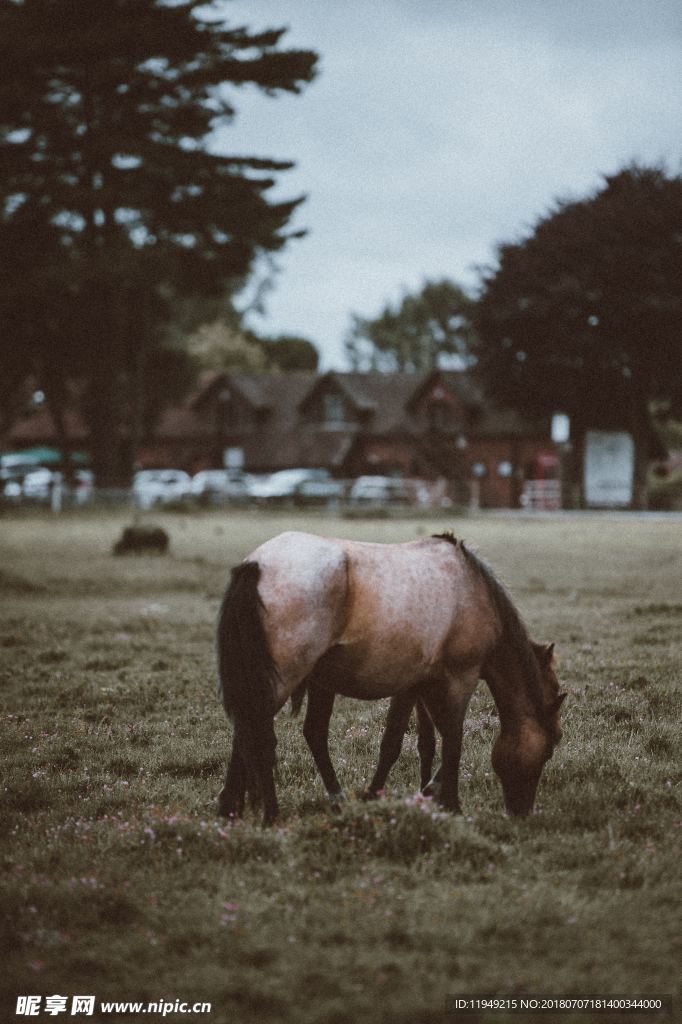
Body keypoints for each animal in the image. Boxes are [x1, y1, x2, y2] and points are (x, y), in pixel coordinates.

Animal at [214, 528, 561, 823]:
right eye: (550, 747)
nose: (521, 812)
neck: (473, 589)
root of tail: (257, 564)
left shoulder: (416, 684)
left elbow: (415, 741)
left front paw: (420, 793)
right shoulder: (459, 678)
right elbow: (449, 739)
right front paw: (450, 804)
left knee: (261, 734)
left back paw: (236, 807)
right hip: (281, 681)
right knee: (260, 738)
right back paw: (271, 814)